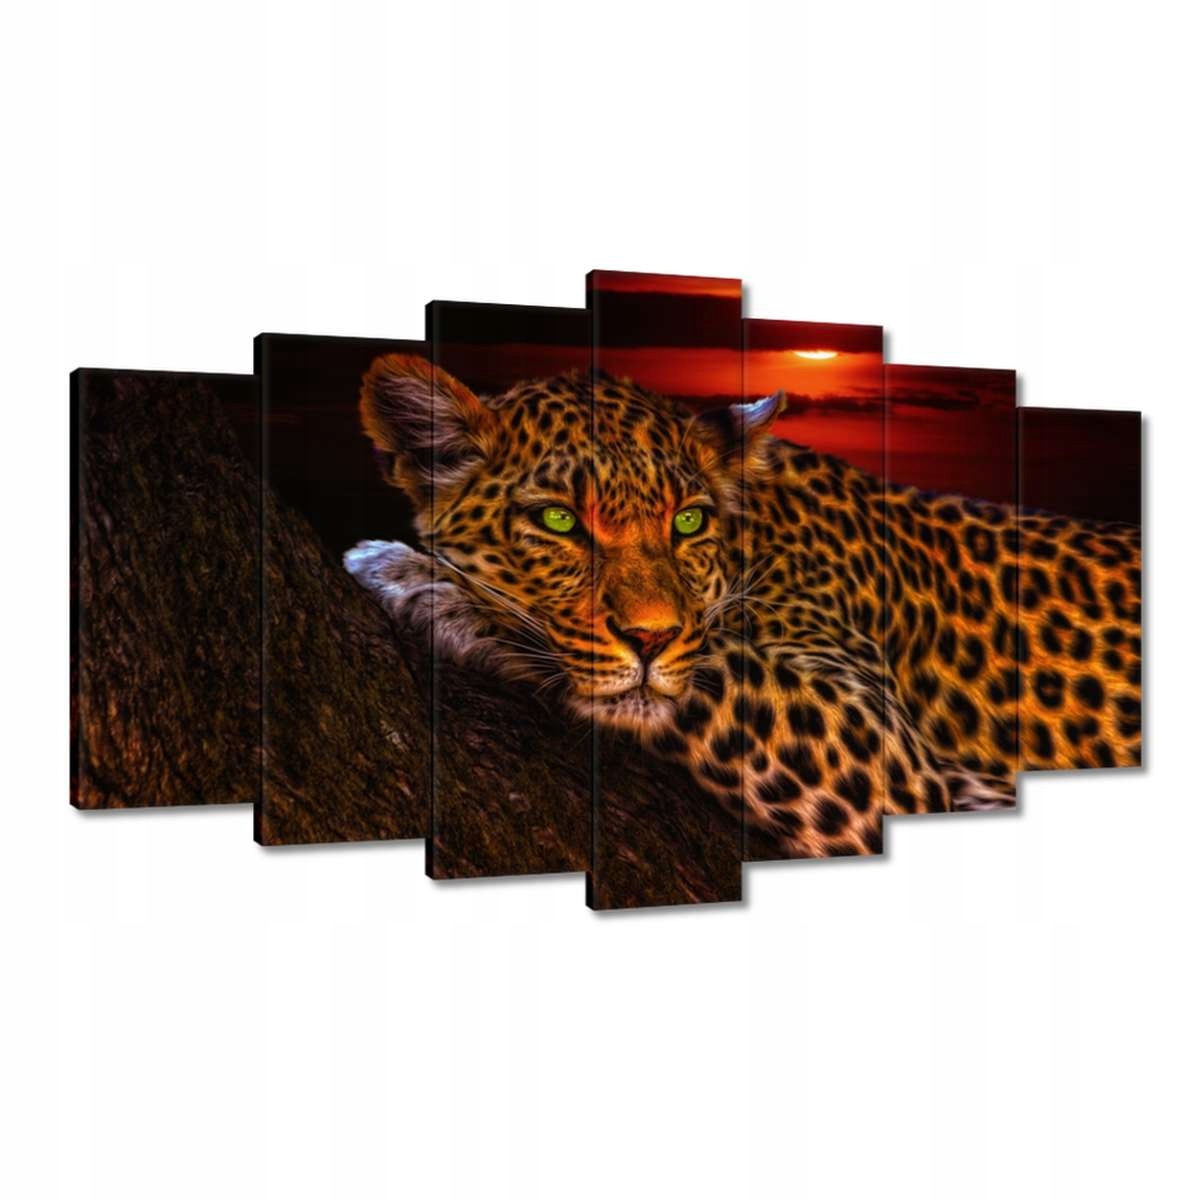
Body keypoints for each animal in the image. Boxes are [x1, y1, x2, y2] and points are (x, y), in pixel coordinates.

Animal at [344, 354, 1142, 858]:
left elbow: (709, 666)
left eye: (688, 521)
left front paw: (416, 577)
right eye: (560, 521)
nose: (650, 638)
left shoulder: (891, 754)